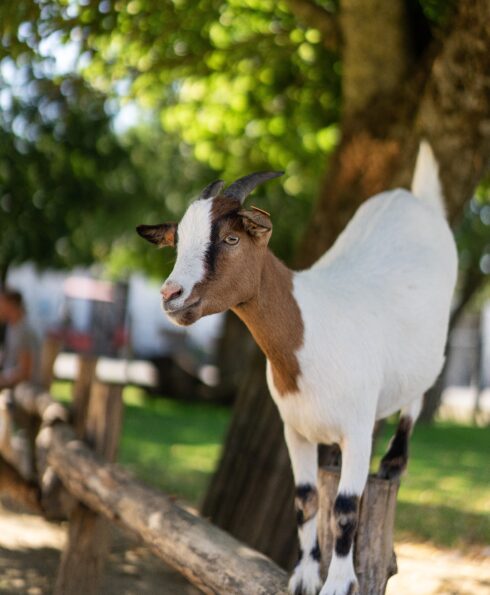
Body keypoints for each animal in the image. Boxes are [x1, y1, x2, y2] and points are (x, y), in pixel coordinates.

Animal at [137, 141, 456, 595]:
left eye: (231, 238)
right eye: (177, 243)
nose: (171, 295)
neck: (310, 334)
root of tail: (415, 198)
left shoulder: (357, 430)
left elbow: (345, 507)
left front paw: (338, 582)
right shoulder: (295, 430)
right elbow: (306, 500)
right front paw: (305, 576)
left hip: (432, 344)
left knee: (421, 389)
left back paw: (394, 462)